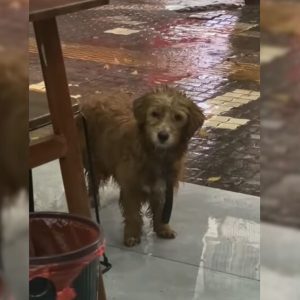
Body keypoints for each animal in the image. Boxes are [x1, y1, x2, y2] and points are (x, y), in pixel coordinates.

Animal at [78, 86, 205, 246]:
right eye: (155, 114)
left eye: (178, 117)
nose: (162, 136)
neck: (155, 155)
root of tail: (95, 96)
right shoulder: (130, 186)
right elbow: (132, 214)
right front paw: (132, 234)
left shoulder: (164, 186)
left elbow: (161, 210)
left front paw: (163, 228)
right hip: (95, 159)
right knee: (92, 180)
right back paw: (92, 199)